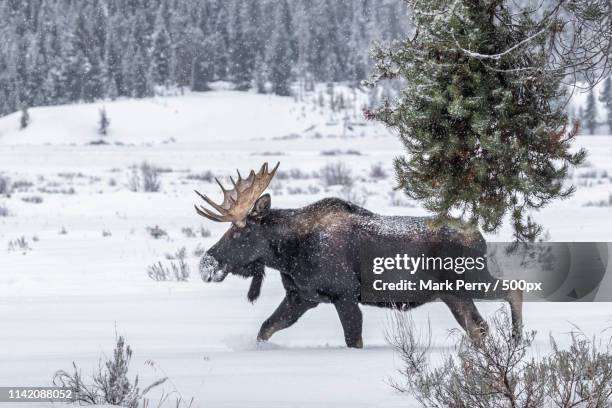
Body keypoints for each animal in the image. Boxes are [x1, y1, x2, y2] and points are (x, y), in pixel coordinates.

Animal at [196, 163, 520, 348]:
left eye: (239, 232)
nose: (206, 264)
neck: (289, 254)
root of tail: (479, 237)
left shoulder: (345, 295)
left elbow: (354, 340)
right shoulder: (302, 297)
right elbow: (266, 329)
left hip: (469, 282)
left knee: (510, 294)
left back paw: (516, 341)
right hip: (455, 294)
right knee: (479, 326)